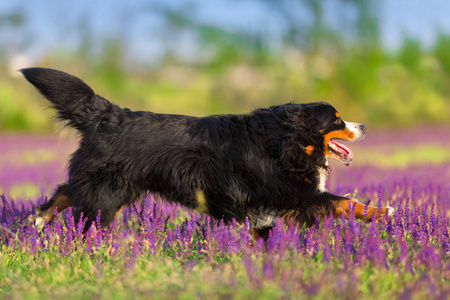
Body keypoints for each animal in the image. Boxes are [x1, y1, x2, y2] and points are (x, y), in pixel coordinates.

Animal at [22, 67, 392, 241]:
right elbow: (345, 201)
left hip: (112, 186)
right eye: (337, 119)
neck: (289, 138)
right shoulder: (294, 193)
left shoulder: (269, 204)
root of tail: (107, 114)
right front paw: (383, 212)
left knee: (65, 192)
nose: (363, 126)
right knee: (85, 211)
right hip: (109, 189)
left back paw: (38, 221)